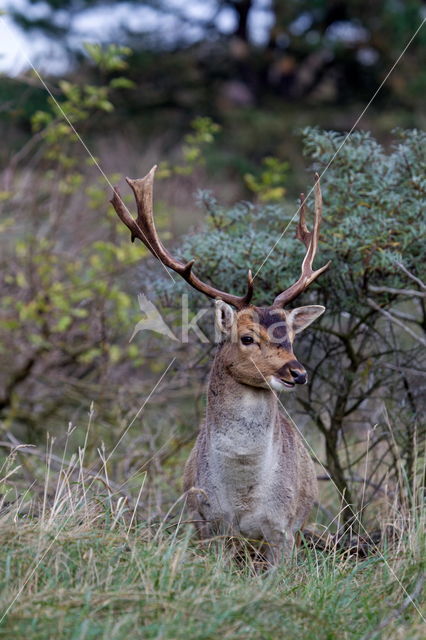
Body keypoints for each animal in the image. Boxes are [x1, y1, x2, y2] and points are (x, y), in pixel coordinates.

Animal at [111, 166, 332, 564]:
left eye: (291, 336)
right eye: (246, 338)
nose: (298, 373)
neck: (243, 495)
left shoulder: (283, 529)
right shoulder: (207, 523)